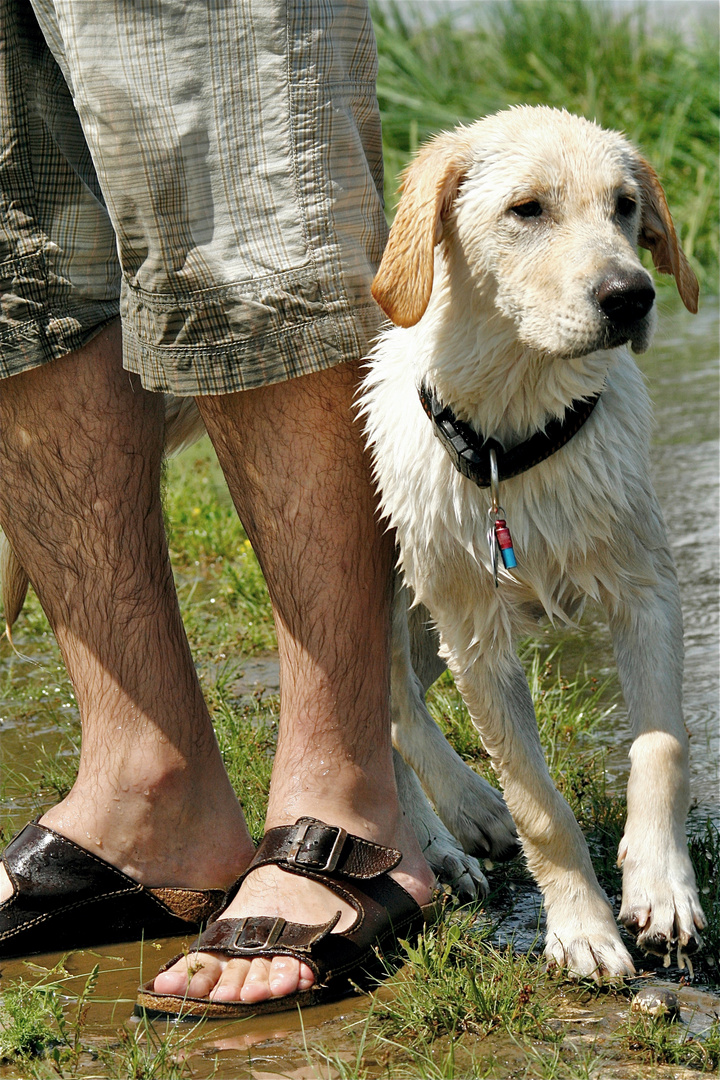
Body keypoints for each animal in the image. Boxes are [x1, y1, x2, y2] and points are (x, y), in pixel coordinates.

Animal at [360, 107, 703, 980]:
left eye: (625, 206)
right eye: (526, 210)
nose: (632, 295)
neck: (514, 431)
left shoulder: (647, 589)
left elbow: (663, 748)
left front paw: (661, 889)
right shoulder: (476, 637)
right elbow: (536, 802)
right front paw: (581, 928)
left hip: (423, 623)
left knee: (394, 707)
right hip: (390, 585)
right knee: (387, 707)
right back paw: (451, 829)